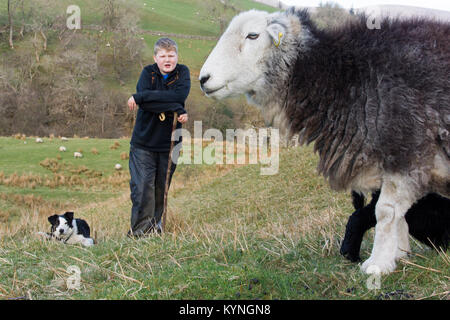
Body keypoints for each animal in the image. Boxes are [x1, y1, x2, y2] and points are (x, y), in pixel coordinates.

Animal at [200, 8, 450, 276]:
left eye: (253, 35)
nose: (204, 79)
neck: (344, 78)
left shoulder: (407, 146)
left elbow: (386, 211)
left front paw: (378, 264)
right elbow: (396, 213)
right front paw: (399, 255)